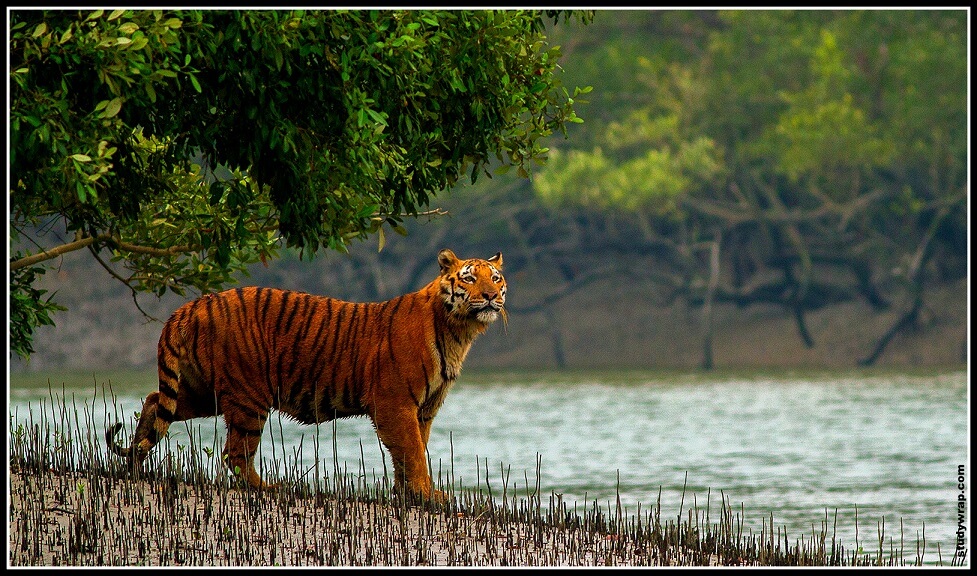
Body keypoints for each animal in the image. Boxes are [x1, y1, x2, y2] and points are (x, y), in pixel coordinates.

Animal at [104, 250, 508, 502]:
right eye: (469, 279)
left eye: (495, 278)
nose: (491, 296)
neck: (459, 330)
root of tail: (191, 305)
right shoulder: (395, 403)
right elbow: (412, 452)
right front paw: (427, 495)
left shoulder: (424, 408)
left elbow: (413, 451)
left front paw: (410, 494)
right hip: (249, 396)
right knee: (235, 453)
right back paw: (268, 488)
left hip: (203, 391)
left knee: (155, 402)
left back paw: (134, 461)